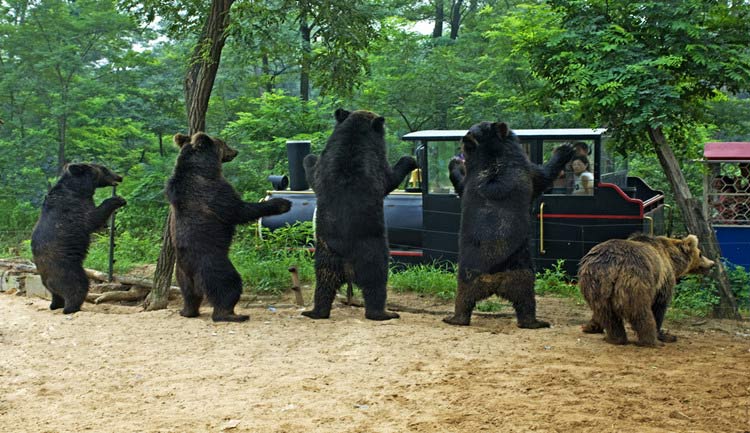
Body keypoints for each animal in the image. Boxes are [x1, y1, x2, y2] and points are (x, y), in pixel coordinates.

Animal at [31, 162, 126, 314]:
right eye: (104, 169)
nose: (119, 177)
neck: (79, 189)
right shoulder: (74, 208)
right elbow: (93, 218)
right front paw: (118, 199)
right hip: (68, 270)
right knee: (77, 286)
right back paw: (71, 307)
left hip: (48, 280)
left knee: (56, 294)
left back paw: (55, 304)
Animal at [167, 132, 294, 320]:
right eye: (224, 143)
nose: (235, 151)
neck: (202, 168)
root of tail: (190, 270)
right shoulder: (212, 190)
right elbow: (238, 210)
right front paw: (283, 203)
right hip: (213, 266)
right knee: (228, 286)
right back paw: (232, 314)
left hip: (181, 276)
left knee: (189, 295)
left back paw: (187, 311)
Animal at [302, 108, 420, 318]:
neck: (353, 138)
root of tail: (347, 265)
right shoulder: (374, 163)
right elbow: (390, 177)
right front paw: (408, 160)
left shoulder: (326, 165)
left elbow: (312, 170)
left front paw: (309, 158)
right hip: (373, 253)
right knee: (376, 283)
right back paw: (384, 313)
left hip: (325, 256)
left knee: (323, 284)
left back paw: (315, 311)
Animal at [446, 120, 576, 328]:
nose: (459, 153)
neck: (492, 158)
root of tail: (494, 278)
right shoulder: (526, 171)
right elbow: (543, 175)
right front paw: (565, 148)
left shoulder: (471, 181)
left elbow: (460, 183)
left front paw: (455, 163)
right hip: (522, 272)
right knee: (526, 299)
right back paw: (535, 322)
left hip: (471, 275)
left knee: (464, 298)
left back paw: (456, 318)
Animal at [580, 235, 716, 346]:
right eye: (700, 253)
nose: (712, 263)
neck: (672, 260)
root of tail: (612, 266)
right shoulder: (664, 279)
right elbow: (660, 305)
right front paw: (664, 334)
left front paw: (590, 326)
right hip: (636, 280)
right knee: (640, 311)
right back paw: (650, 340)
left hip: (595, 282)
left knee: (606, 312)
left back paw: (613, 338)